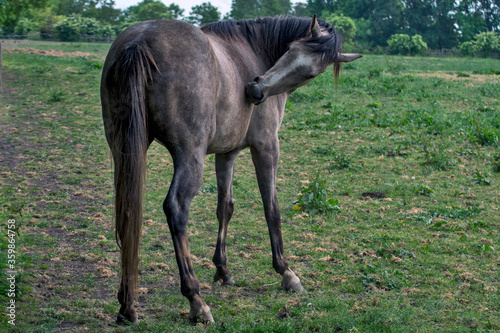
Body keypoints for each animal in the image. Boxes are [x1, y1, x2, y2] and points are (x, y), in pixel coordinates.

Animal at [100, 14, 360, 322]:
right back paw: (196, 301)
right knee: (176, 208)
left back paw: (127, 304)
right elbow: (271, 208)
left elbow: (225, 207)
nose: (256, 88)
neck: (253, 49)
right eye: (290, 49)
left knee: (128, 213)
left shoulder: (227, 153)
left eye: (310, 72)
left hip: (125, 151)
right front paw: (286, 272)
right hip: (189, 156)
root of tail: (141, 40)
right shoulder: (267, 146)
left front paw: (223, 271)